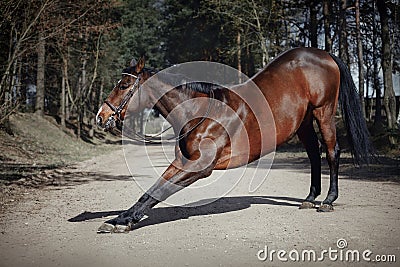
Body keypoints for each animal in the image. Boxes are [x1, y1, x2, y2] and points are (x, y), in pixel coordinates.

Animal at [95, 47, 374, 233]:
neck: (200, 113)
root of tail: (324, 54)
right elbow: (151, 190)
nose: (101, 116)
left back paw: (328, 201)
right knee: (315, 155)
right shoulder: (184, 161)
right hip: (304, 122)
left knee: (331, 152)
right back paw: (309, 198)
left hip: (323, 112)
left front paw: (124, 221)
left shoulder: (201, 166)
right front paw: (121, 218)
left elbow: (158, 191)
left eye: (123, 85)